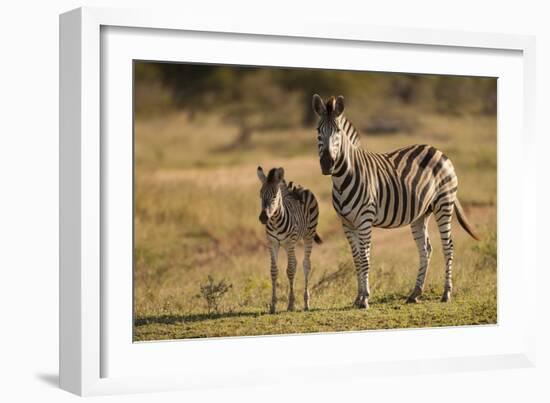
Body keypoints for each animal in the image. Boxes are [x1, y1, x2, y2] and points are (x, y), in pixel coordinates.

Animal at [258, 166, 324, 314]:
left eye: (275, 196)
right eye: (260, 194)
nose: (263, 218)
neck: (275, 222)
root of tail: (299, 186)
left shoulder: (289, 243)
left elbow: (290, 269)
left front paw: (291, 304)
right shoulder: (272, 244)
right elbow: (274, 271)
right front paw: (273, 306)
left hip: (308, 235)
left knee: (306, 264)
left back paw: (306, 303)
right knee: (297, 262)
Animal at [312, 94, 480, 310]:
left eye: (338, 132)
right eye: (318, 131)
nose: (327, 164)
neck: (343, 179)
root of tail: (437, 150)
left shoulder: (365, 220)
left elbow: (365, 258)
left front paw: (365, 299)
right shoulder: (347, 223)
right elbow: (356, 258)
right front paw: (358, 297)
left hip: (444, 203)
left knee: (448, 246)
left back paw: (446, 294)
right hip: (421, 213)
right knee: (426, 249)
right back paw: (415, 294)